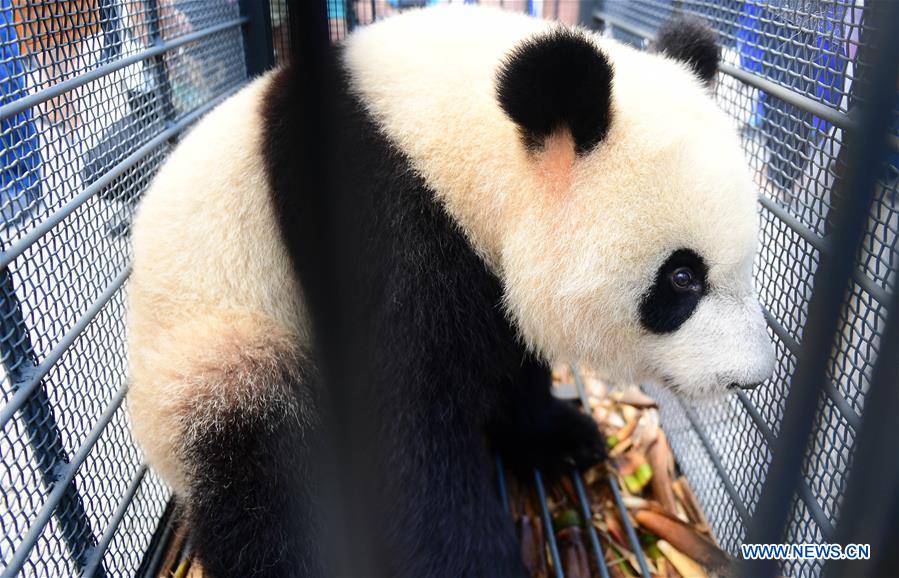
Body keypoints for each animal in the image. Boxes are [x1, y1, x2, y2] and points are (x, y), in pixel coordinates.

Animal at [127, 6, 775, 578]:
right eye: (683, 277)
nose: (750, 378)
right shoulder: (377, 223)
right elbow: (405, 429)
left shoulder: (480, 262)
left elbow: (509, 353)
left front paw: (559, 436)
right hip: (217, 344)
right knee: (261, 471)